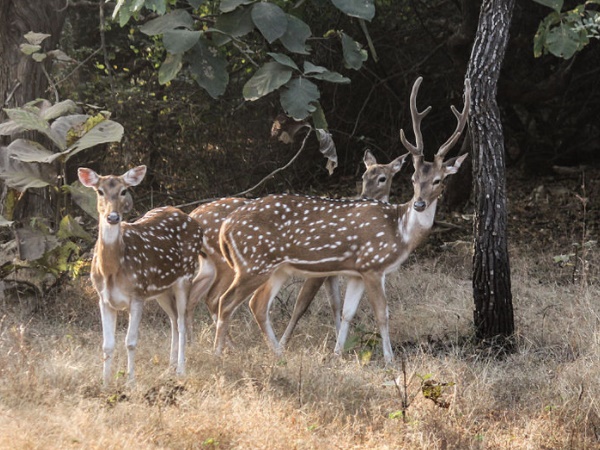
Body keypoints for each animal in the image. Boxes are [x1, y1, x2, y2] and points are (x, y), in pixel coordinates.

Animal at [78, 166, 204, 386]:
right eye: (100, 191)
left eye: (123, 191)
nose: (113, 217)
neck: (111, 270)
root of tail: (193, 221)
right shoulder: (104, 298)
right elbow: (107, 344)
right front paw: (105, 383)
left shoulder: (137, 294)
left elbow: (130, 341)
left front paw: (130, 382)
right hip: (161, 289)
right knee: (173, 319)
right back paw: (169, 367)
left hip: (185, 276)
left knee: (182, 321)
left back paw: (180, 369)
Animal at [185, 150, 406, 344]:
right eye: (364, 176)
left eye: (382, 178)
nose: (365, 196)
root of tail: (195, 215)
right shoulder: (319, 267)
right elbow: (303, 303)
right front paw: (285, 343)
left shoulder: (333, 269)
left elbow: (336, 303)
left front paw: (338, 341)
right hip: (230, 264)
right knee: (215, 298)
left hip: (210, 263)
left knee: (197, 294)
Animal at [213, 78, 472, 362]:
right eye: (413, 179)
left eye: (438, 180)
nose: (419, 203)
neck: (400, 231)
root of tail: (225, 228)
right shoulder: (372, 264)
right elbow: (382, 313)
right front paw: (390, 360)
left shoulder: (356, 271)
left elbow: (348, 313)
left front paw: (336, 354)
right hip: (254, 263)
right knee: (226, 301)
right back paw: (218, 353)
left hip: (276, 267)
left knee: (256, 304)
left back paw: (279, 353)